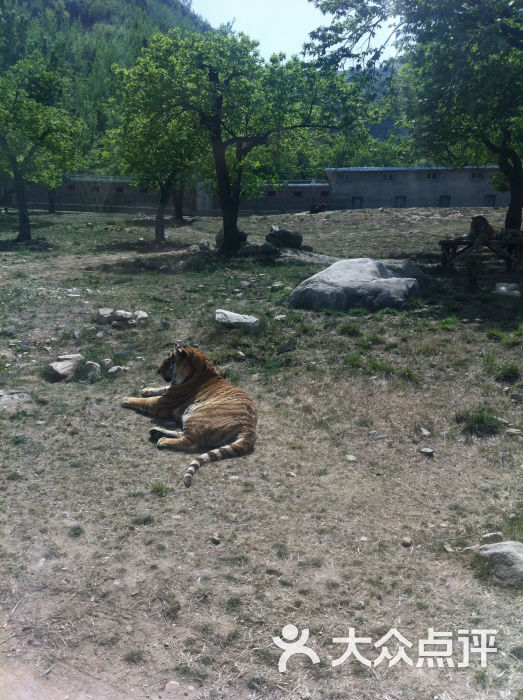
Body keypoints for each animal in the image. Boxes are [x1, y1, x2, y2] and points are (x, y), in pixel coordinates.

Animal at [121, 344, 256, 486]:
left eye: (168, 361)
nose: (157, 371)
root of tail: (249, 426)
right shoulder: (170, 390)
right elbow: (162, 387)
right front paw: (146, 389)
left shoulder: (161, 404)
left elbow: (144, 401)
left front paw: (126, 399)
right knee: (182, 434)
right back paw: (156, 432)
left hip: (196, 417)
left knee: (190, 443)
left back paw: (163, 440)